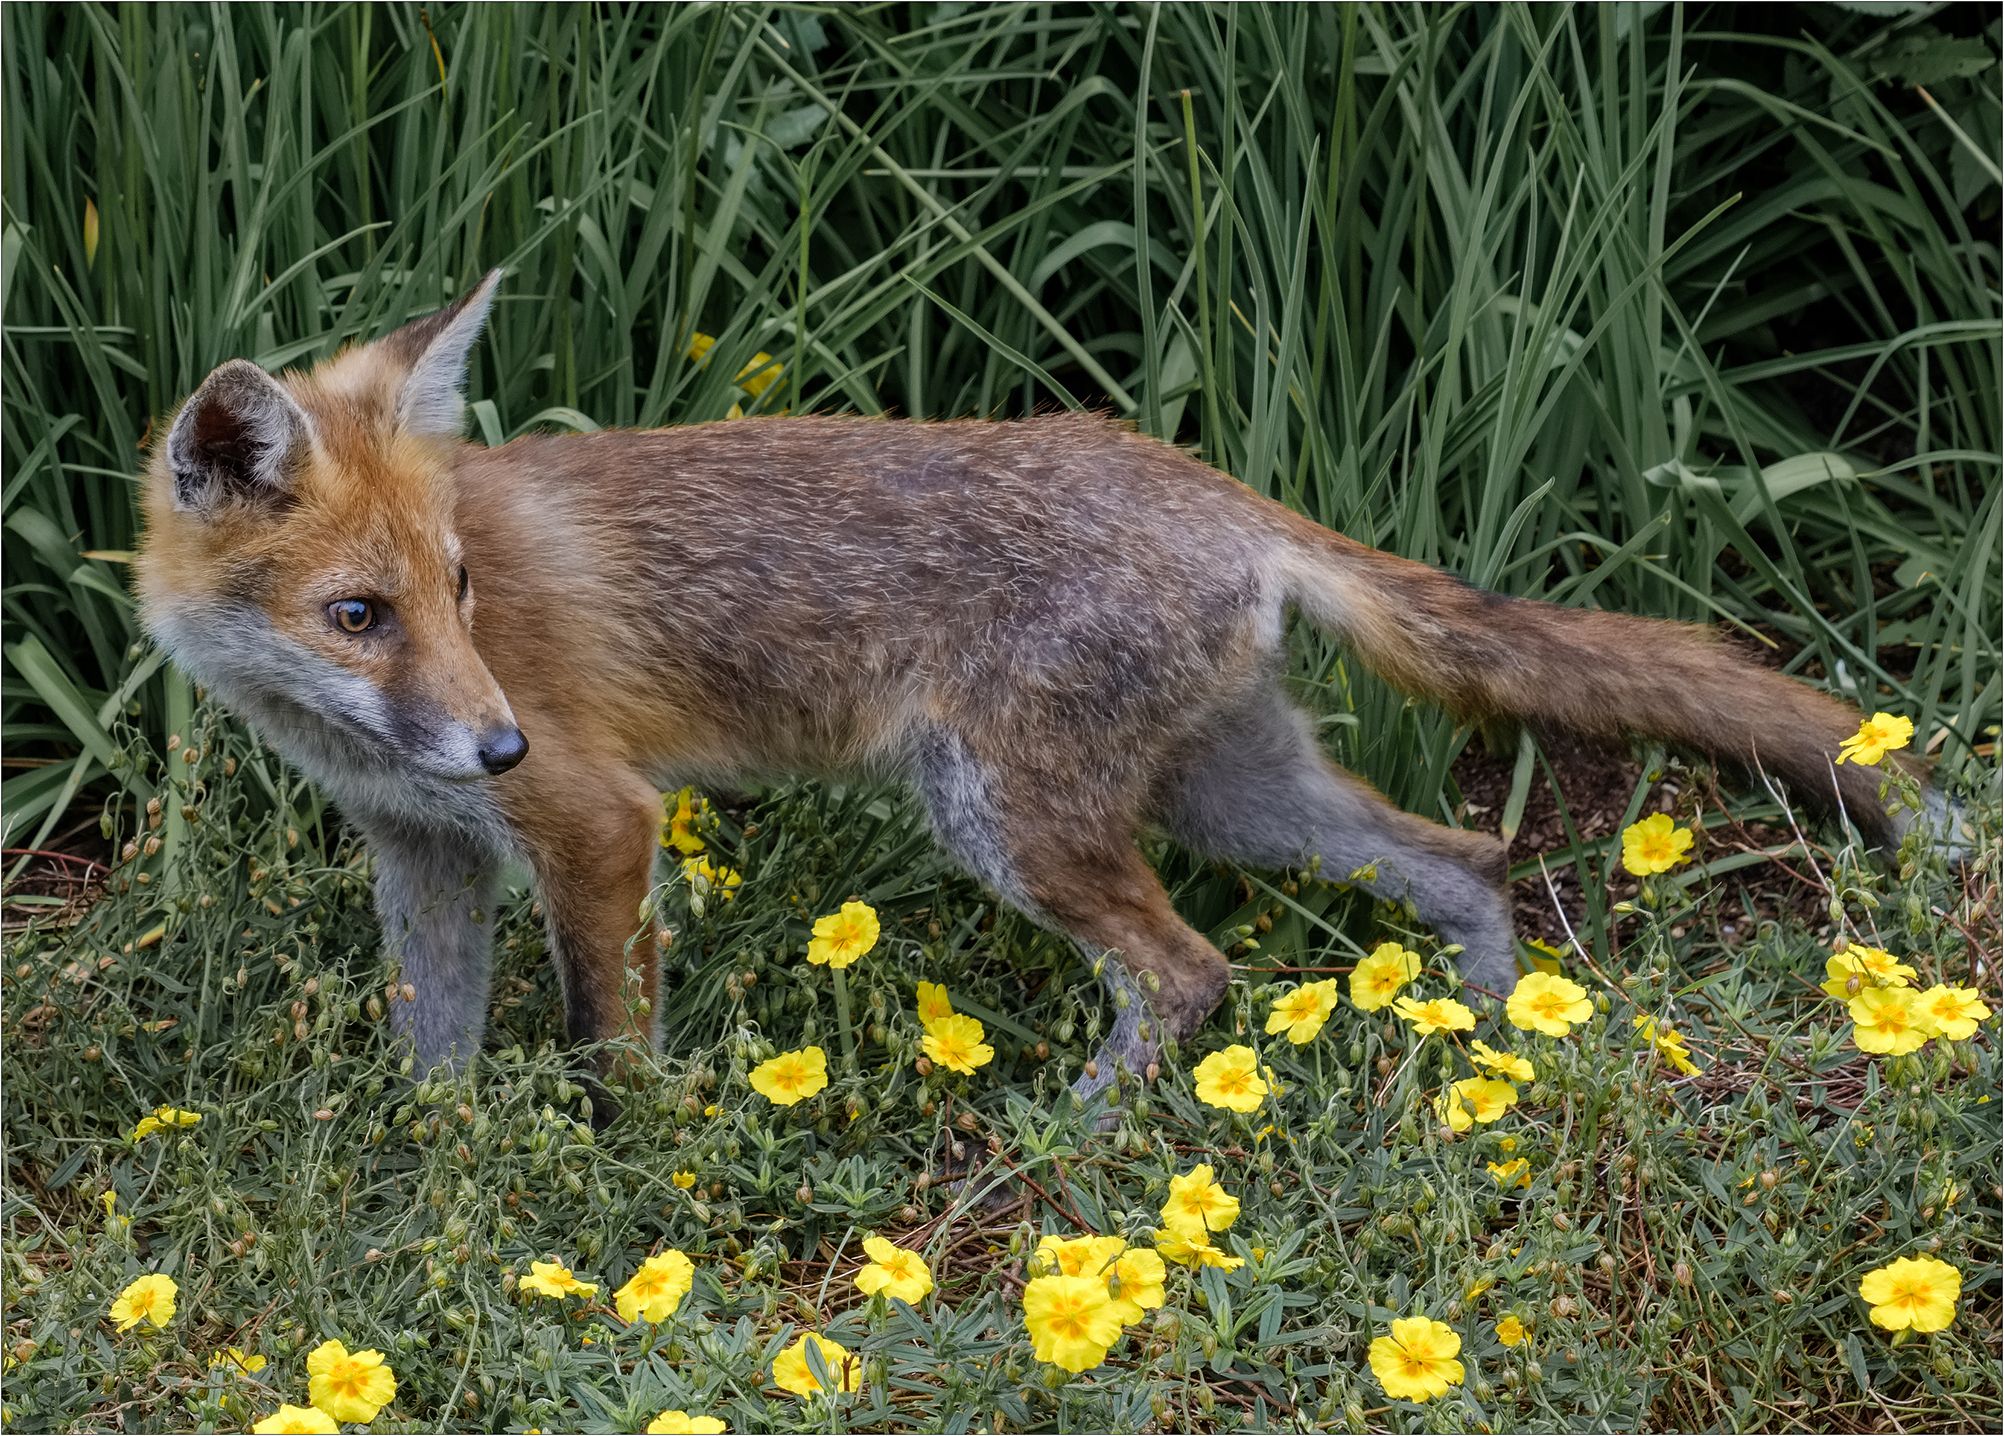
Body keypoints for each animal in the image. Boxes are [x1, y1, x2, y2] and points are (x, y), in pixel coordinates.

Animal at [137, 270, 1953, 1108]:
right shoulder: (424, 854)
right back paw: (1489, 1043)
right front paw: (451, 1178)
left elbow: (610, 1047)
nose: (497, 735)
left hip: (1009, 815)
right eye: (361, 612)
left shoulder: (596, 820)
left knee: (1189, 972)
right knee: (1463, 863)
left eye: (457, 595)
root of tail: (1204, 486)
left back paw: (1078, 1140)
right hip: (1236, 793)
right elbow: (431, 1060)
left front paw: (610, 1199)